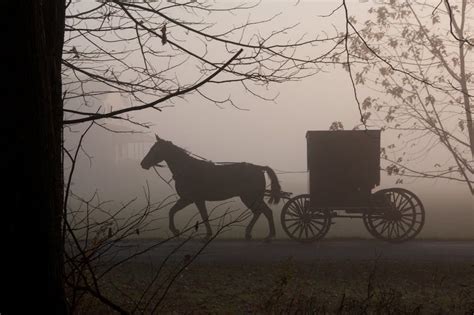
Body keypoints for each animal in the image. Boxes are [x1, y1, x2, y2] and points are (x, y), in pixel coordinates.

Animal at [141, 135, 282, 241]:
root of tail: (259, 168)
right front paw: (177, 231)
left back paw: (267, 235)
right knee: (261, 212)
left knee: (264, 212)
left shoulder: (192, 199)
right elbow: (174, 211)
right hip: (251, 198)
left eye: (155, 149)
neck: (187, 169)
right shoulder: (189, 199)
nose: (143, 163)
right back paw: (253, 233)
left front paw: (178, 231)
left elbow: (200, 215)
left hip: (250, 197)